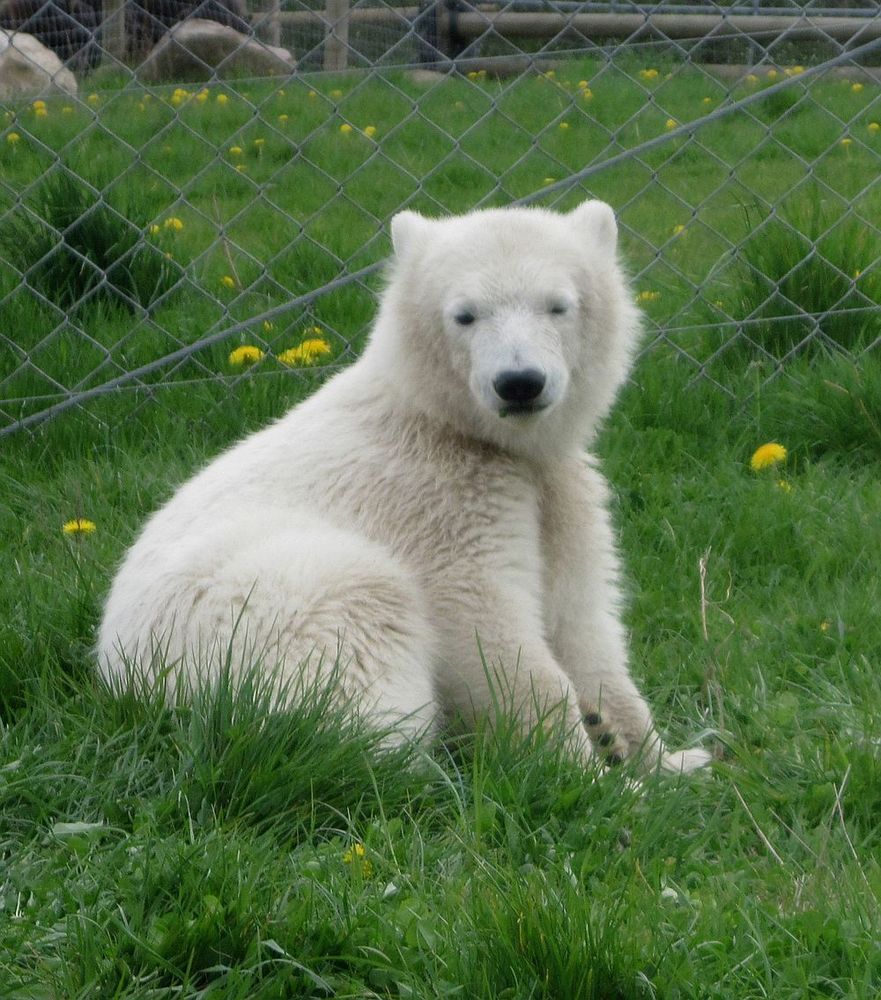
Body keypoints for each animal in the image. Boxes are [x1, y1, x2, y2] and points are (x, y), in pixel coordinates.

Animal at [99, 197, 712, 772]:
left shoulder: (558, 492)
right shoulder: (439, 500)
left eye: (558, 304)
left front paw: (667, 755)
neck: (457, 429)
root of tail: (119, 678)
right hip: (249, 618)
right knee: (358, 631)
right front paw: (597, 778)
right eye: (465, 315)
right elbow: (485, 626)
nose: (519, 383)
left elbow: (581, 617)